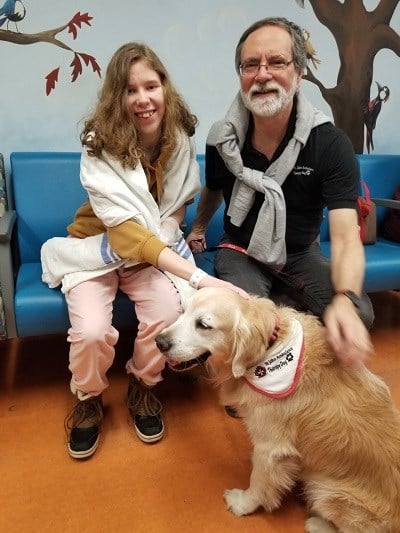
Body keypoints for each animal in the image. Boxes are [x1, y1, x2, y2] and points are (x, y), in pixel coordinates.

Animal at [155, 286, 400, 532]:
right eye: (183, 311)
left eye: (203, 325)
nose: (159, 342)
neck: (268, 348)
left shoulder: (271, 448)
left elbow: (259, 482)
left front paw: (243, 504)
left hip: (326, 490)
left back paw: (316, 524)